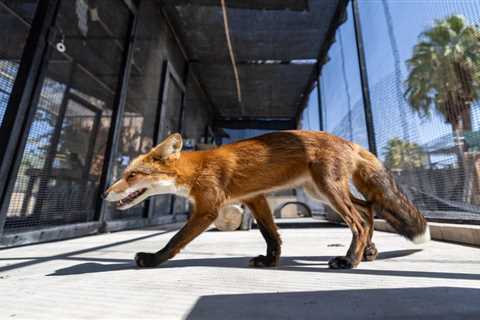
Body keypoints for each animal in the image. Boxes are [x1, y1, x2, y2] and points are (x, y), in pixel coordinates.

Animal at [103, 131, 430, 268]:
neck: (196, 169)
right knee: (367, 210)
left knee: (359, 221)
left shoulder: (208, 210)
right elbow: (271, 235)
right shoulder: (254, 198)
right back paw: (369, 251)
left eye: (132, 175)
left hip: (327, 189)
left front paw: (152, 259)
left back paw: (350, 260)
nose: (105, 192)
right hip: (319, 191)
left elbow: (175, 241)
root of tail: (348, 142)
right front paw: (270, 261)